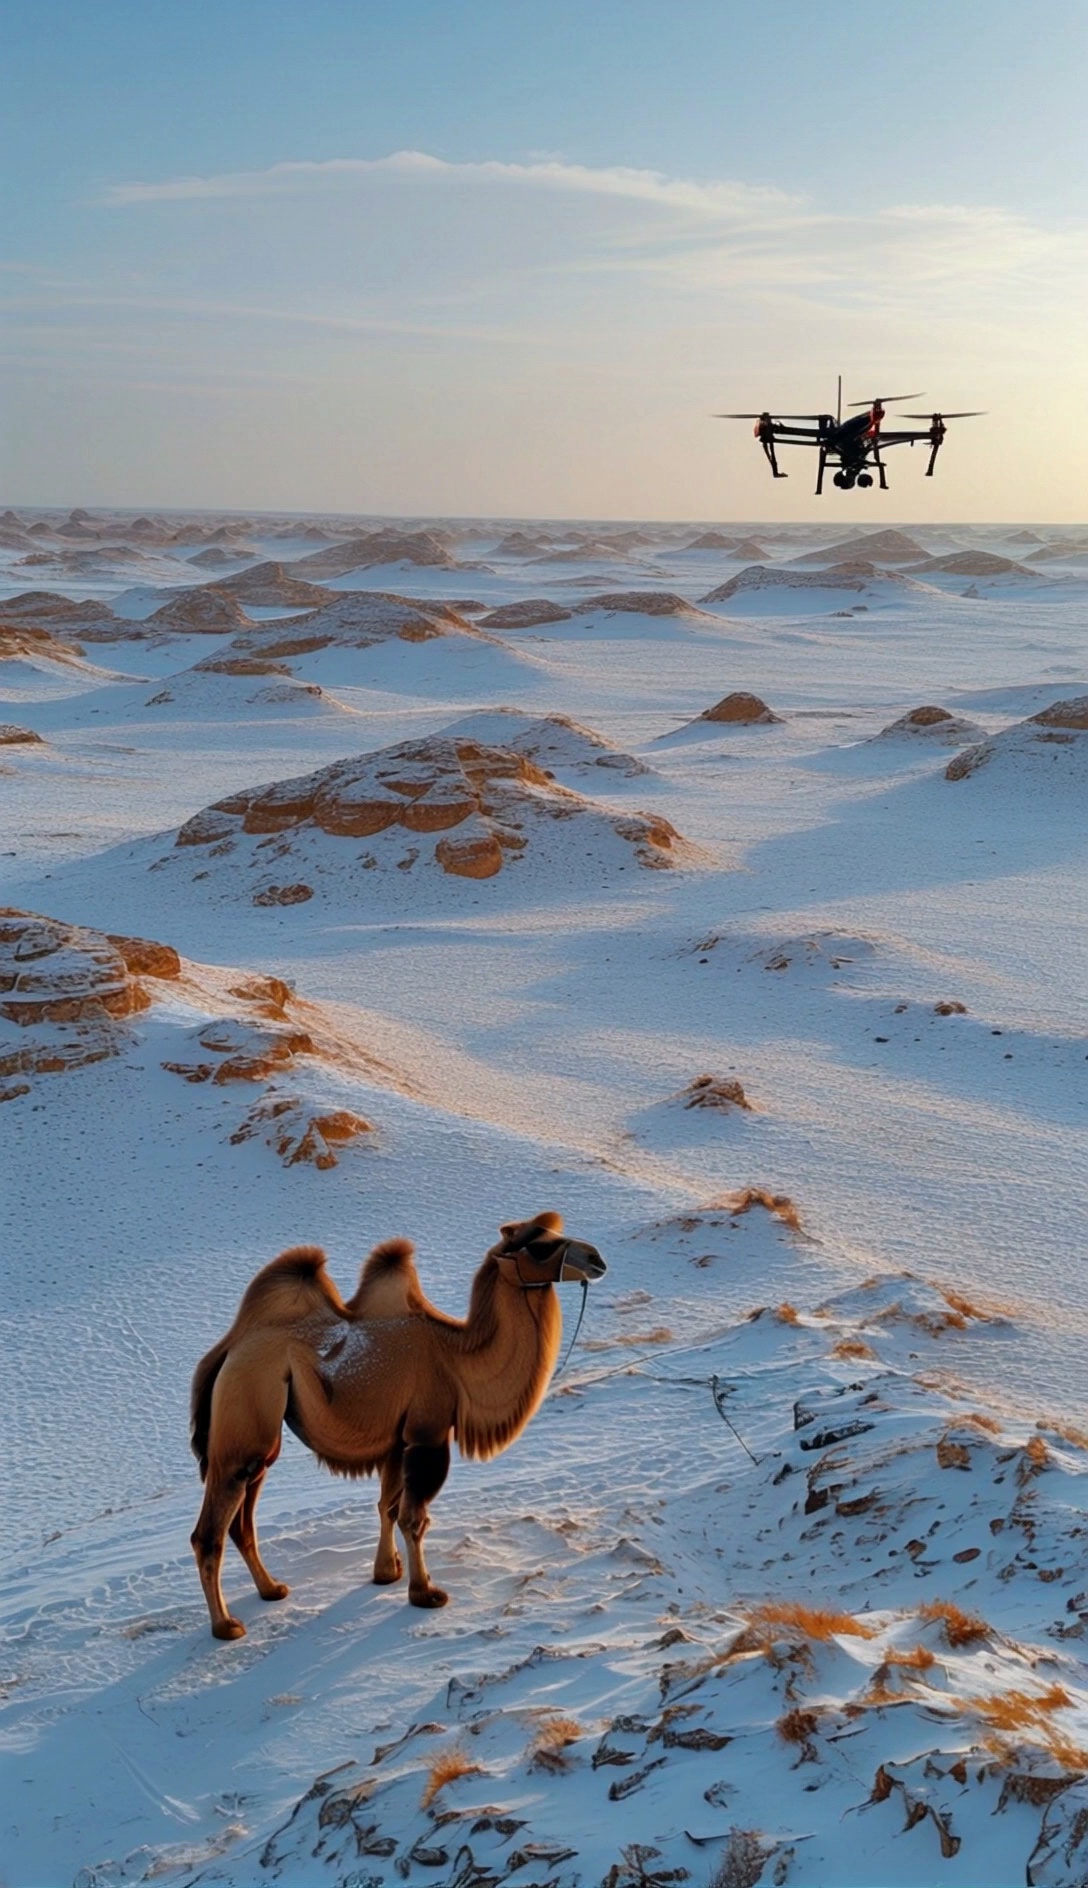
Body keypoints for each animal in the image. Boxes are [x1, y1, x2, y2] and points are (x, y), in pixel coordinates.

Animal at [190, 1211, 606, 1639]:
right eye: (540, 1245)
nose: (597, 1258)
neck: (457, 1358)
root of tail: (228, 1353)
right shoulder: (428, 1434)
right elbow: (414, 1518)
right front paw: (425, 1593)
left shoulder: (397, 1440)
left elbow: (387, 1506)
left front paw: (387, 1573)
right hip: (247, 1409)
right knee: (210, 1531)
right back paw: (226, 1625)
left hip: (262, 1438)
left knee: (242, 1522)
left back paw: (272, 1589)